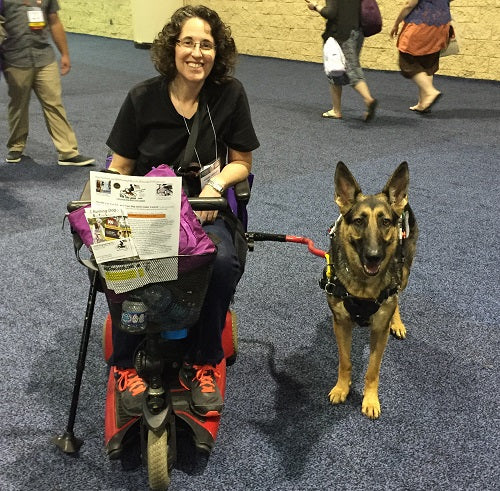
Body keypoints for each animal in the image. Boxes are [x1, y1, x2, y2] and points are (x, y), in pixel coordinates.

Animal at [324, 161, 418, 418]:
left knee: (397, 297)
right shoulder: (341, 324)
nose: (374, 256)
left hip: (404, 272)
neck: (363, 287)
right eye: (359, 221)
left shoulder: (379, 331)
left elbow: (372, 370)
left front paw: (370, 399)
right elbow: (345, 362)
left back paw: (397, 322)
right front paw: (342, 388)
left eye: (385, 222)